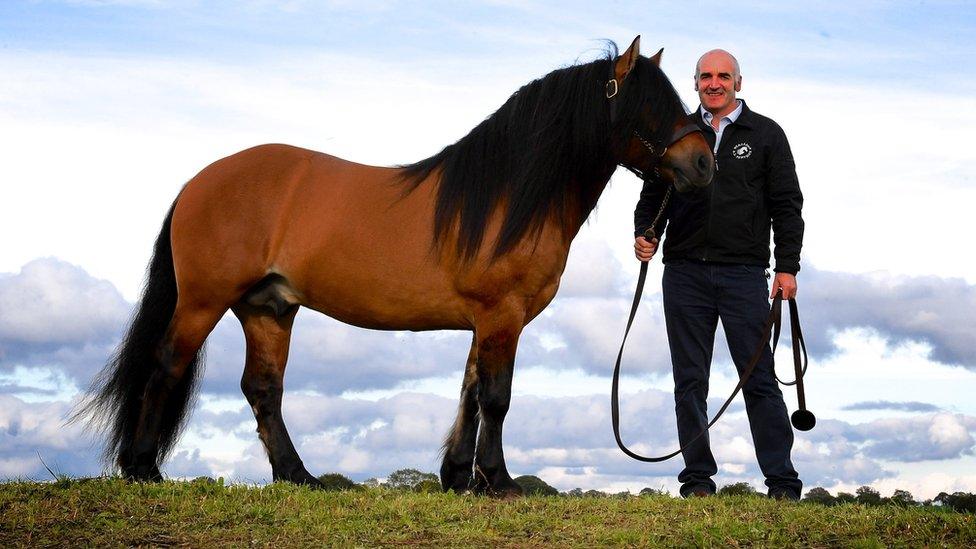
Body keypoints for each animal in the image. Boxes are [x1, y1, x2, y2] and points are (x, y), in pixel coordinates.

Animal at [76, 36, 712, 494]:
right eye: (649, 105)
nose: (703, 163)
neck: (507, 196)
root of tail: (199, 182)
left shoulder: (484, 322)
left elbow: (470, 391)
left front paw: (458, 478)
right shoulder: (501, 316)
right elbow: (496, 397)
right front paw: (500, 481)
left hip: (268, 309)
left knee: (263, 389)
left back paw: (300, 478)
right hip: (204, 302)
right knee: (167, 365)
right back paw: (144, 469)